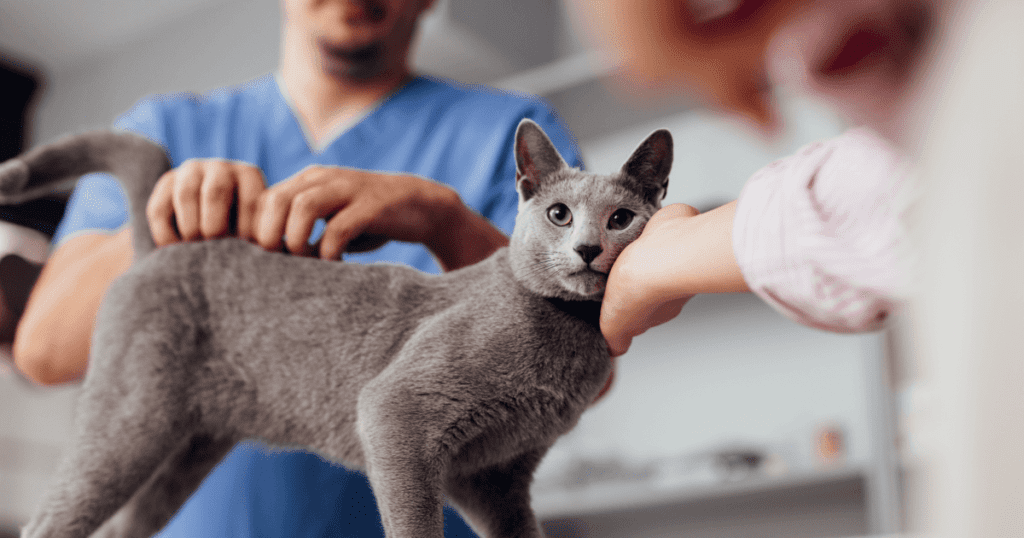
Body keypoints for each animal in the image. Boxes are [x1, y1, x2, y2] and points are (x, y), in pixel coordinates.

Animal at [2, 120, 671, 536]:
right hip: (133, 416)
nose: (588, 248)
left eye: (621, 219)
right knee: (51, 520)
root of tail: (160, 247)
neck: (568, 337)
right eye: (559, 214)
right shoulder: (396, 413)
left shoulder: (494, 477)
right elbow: (414, 520)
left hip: (187, 445)